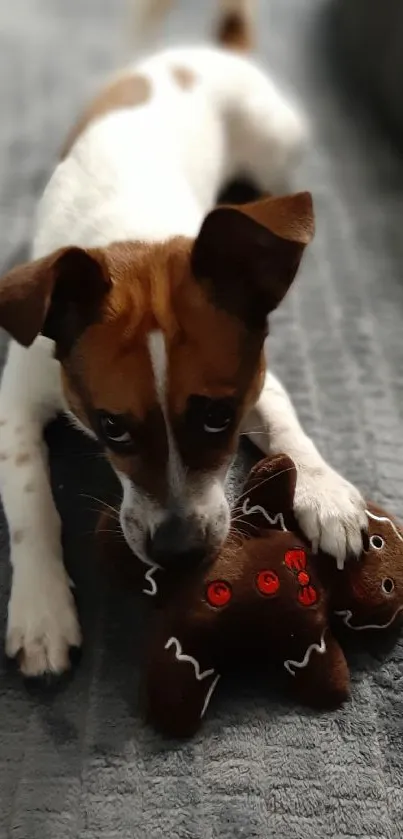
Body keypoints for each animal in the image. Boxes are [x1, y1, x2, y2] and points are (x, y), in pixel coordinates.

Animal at [0, 0, 370, 676]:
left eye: (219, 416)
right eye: (111, 427)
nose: (178, 553)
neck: (130, 238)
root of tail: (216, 49)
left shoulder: (257, 380)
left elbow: (289, 430)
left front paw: (324, 491)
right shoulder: (16, 400)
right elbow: (30, 501)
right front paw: (41, 608)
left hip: (274, 149)